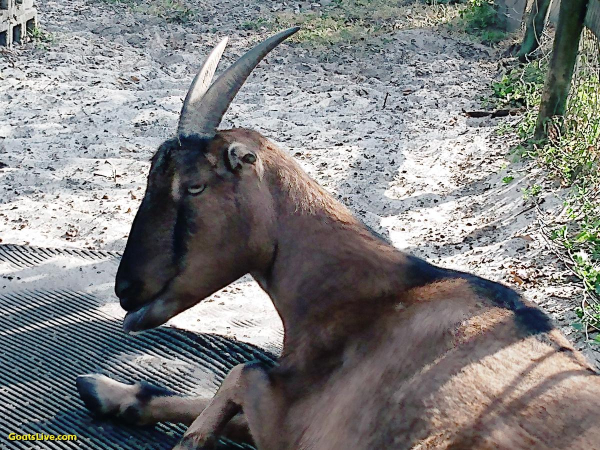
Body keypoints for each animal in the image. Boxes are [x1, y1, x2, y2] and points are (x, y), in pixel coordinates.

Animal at [77, 29, 600, 448]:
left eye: (194, 187)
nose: (126, 289)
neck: (375, 294)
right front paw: (110, 392)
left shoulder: (299, 426)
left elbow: (240, 372)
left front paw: (187, 438)